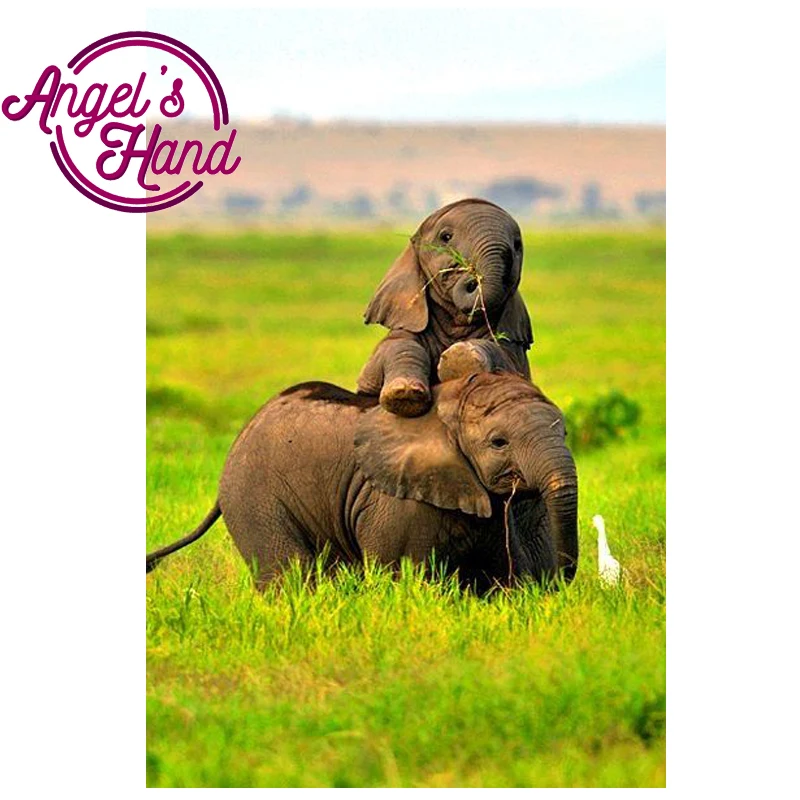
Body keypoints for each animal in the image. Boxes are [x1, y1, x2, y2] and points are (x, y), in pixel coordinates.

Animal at [145, 369, 578, 593]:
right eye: (498, 442)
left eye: (565, 433)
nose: (562, 580)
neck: (449, 406)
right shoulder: (397, 501)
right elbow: (406, 576)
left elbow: (499, 576)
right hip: (254, 498)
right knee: (291, 574)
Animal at [356, 198, 534, 418]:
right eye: (445, 237)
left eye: (517, 245)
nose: (473, 277)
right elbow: (397, 345)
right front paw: (405, 395)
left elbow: (506, 358)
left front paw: (461, 360)